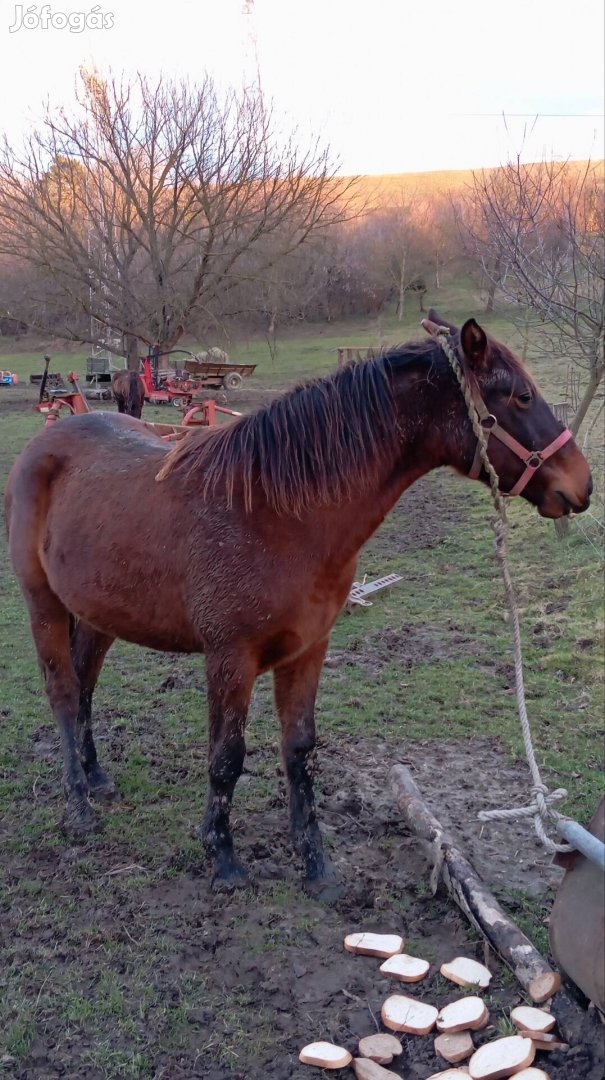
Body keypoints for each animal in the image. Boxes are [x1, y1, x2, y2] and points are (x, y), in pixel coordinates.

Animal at [4, 317, 592, 894]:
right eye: (521, 396)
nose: (582, 485)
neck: (277, 514)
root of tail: (45, 442)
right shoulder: (229, 659)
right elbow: (226, 757)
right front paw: (222, 858)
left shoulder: (309, 649)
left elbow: (300, 749)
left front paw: (315, 865)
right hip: (44, 605)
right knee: (63, 694)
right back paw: (78, 807)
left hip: (99, 613)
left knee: (85, 686)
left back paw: (97, 779)